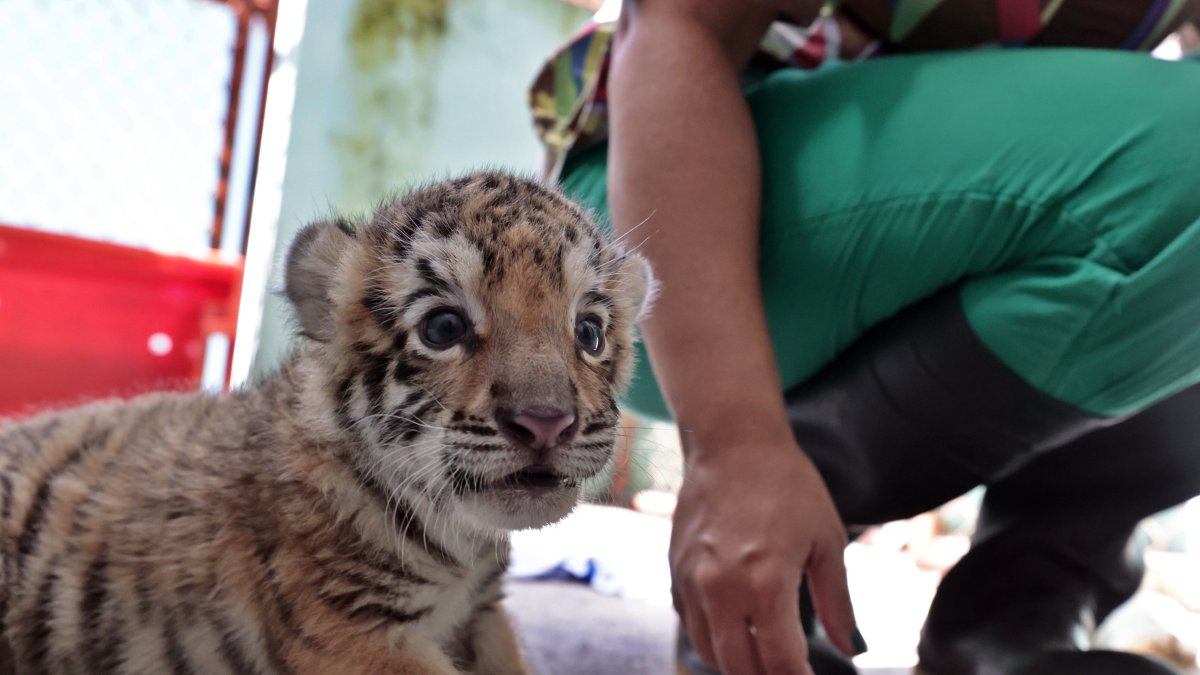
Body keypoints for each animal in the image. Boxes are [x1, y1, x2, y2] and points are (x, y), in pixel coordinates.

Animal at [0, 171, 655, 674]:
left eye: (589, 332)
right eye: (443, 328)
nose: (547, 422)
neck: (461, 543)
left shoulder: (483, 614)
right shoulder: (349, 629)